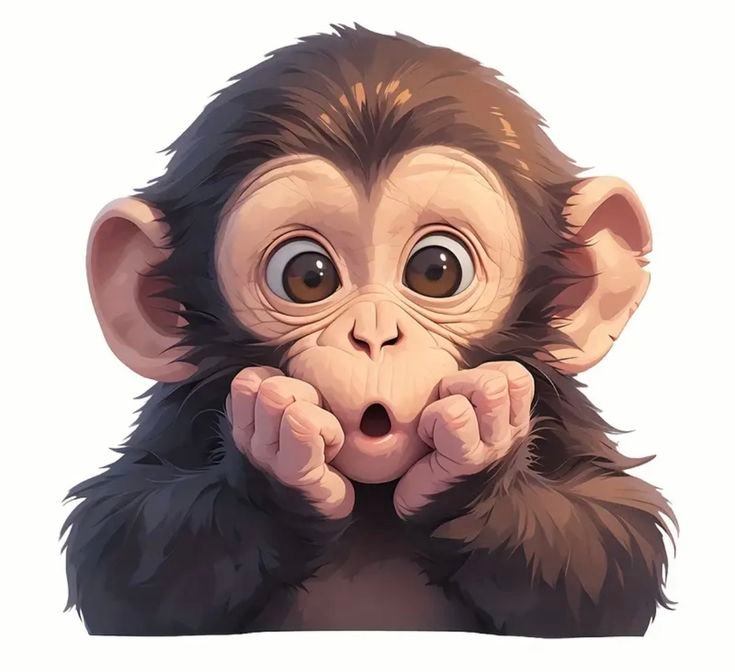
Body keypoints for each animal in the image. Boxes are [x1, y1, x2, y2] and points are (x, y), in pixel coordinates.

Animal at [61, 24, 676, 637]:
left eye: (436, 271)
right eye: (308, 276)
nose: (375, 336)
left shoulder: (559, 403)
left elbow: (614, 546)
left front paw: (474, 456)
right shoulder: (180, 409)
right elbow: (115, 548)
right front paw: (277, 460)